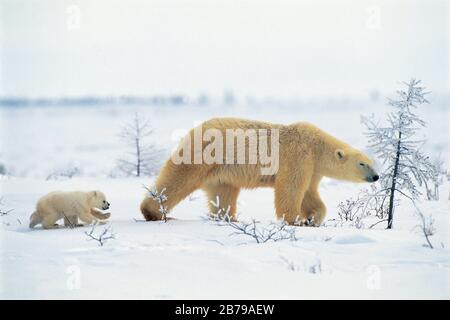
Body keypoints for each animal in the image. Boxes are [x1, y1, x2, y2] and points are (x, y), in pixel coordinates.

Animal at [142, 117, 380, 225]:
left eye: (372, 161)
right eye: (362, 164)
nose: (376, 176)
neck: (316, 146)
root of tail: (193, 130)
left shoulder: (313, 169)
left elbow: (309, 194)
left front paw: (313, 219)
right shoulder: (298, 156)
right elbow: (291, 189)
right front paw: (295, 220)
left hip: (220, 171)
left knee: (223, 192)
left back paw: (229, 219)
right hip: (203, 155)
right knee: (178, 180)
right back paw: (153, 212)